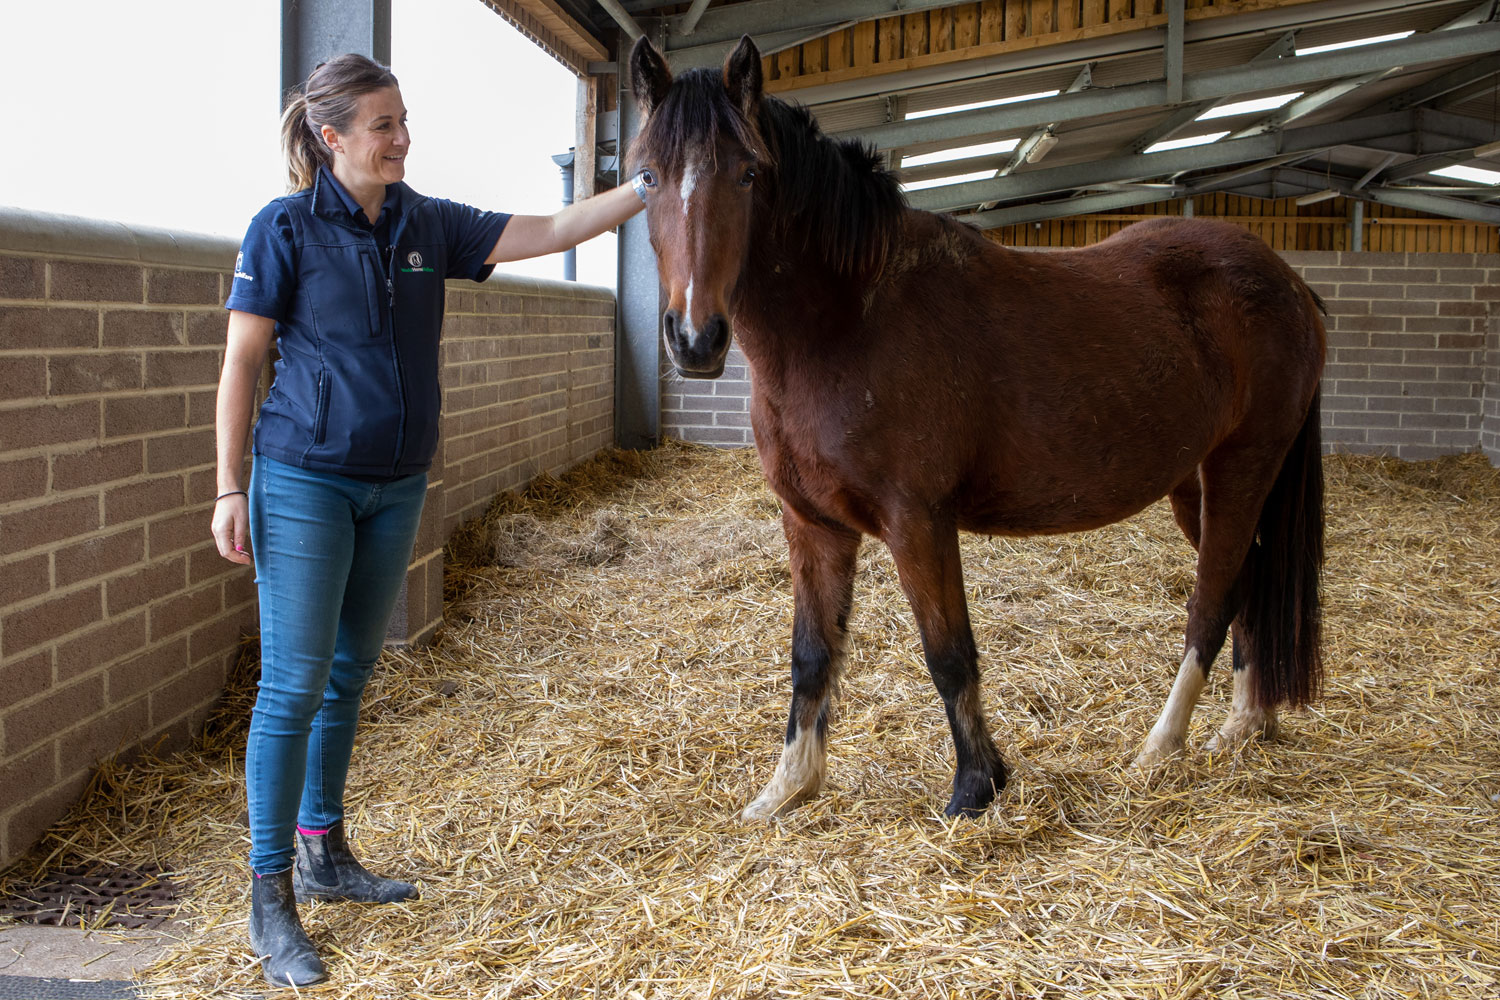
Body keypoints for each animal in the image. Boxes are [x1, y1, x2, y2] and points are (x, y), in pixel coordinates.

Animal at [630, 37, 1326, 821]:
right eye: (647, 177)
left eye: (749, 173)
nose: (695, 338)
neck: (848, 319)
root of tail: (1289, 284)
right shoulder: (812, 524)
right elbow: (811, 656)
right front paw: (787, 788)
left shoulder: (918, 522)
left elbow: (949, 653)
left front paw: (976, 786)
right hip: (1195, 484)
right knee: (1249, 584)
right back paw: (1245, 724)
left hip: (1243, 467)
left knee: (1211, 602)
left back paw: (1161, 747)